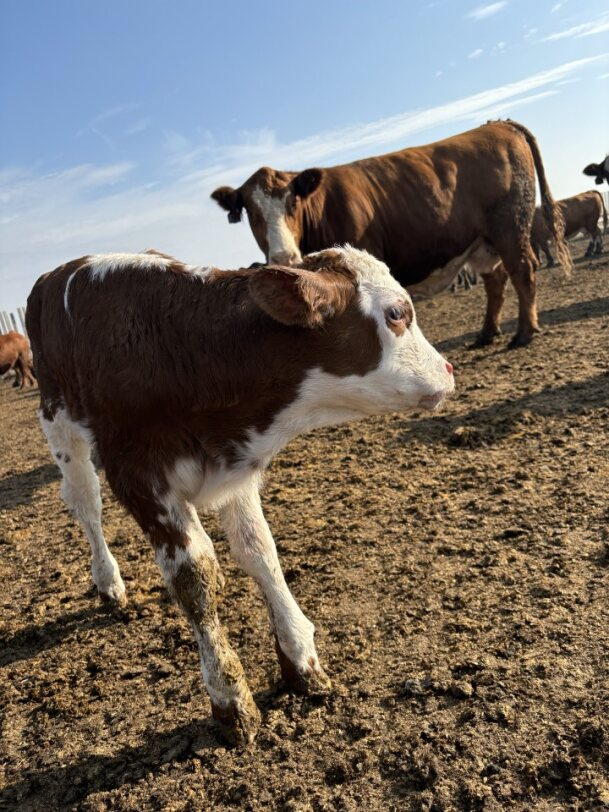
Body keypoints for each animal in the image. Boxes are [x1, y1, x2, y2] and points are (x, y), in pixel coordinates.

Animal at [26, 246, 454, 746]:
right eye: (397, 313)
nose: (448, 369)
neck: (190, 351)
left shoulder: (236, 469)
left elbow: (260, 554)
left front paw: (301, 656)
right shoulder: (140, 478)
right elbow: (193, 577)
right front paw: (230, 698)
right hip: (59, 421)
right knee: (87, 506)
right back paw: (109, 582)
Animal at [212, 120, 571, 348]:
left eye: (293, 202)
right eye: (251, 211)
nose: (283, 255)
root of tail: (499, 125)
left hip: (510, 228)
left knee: (523, 272)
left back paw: (524, 333)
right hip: (483, 242)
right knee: (495, 281)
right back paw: (486, 333)